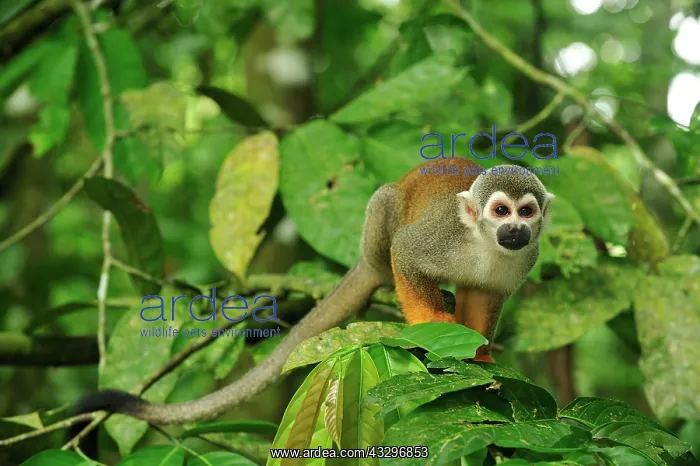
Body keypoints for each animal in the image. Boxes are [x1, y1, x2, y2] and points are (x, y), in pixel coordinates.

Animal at [70, 158, 553, 428]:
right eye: (500, 210)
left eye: (526, 212)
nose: (515, 230)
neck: (484, 244)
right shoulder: (442, 239)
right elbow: (408, 254)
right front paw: (435, 330)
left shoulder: (523, 259)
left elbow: (486, 296)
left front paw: (481, 358)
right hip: (376, 237)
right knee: (386, 215)